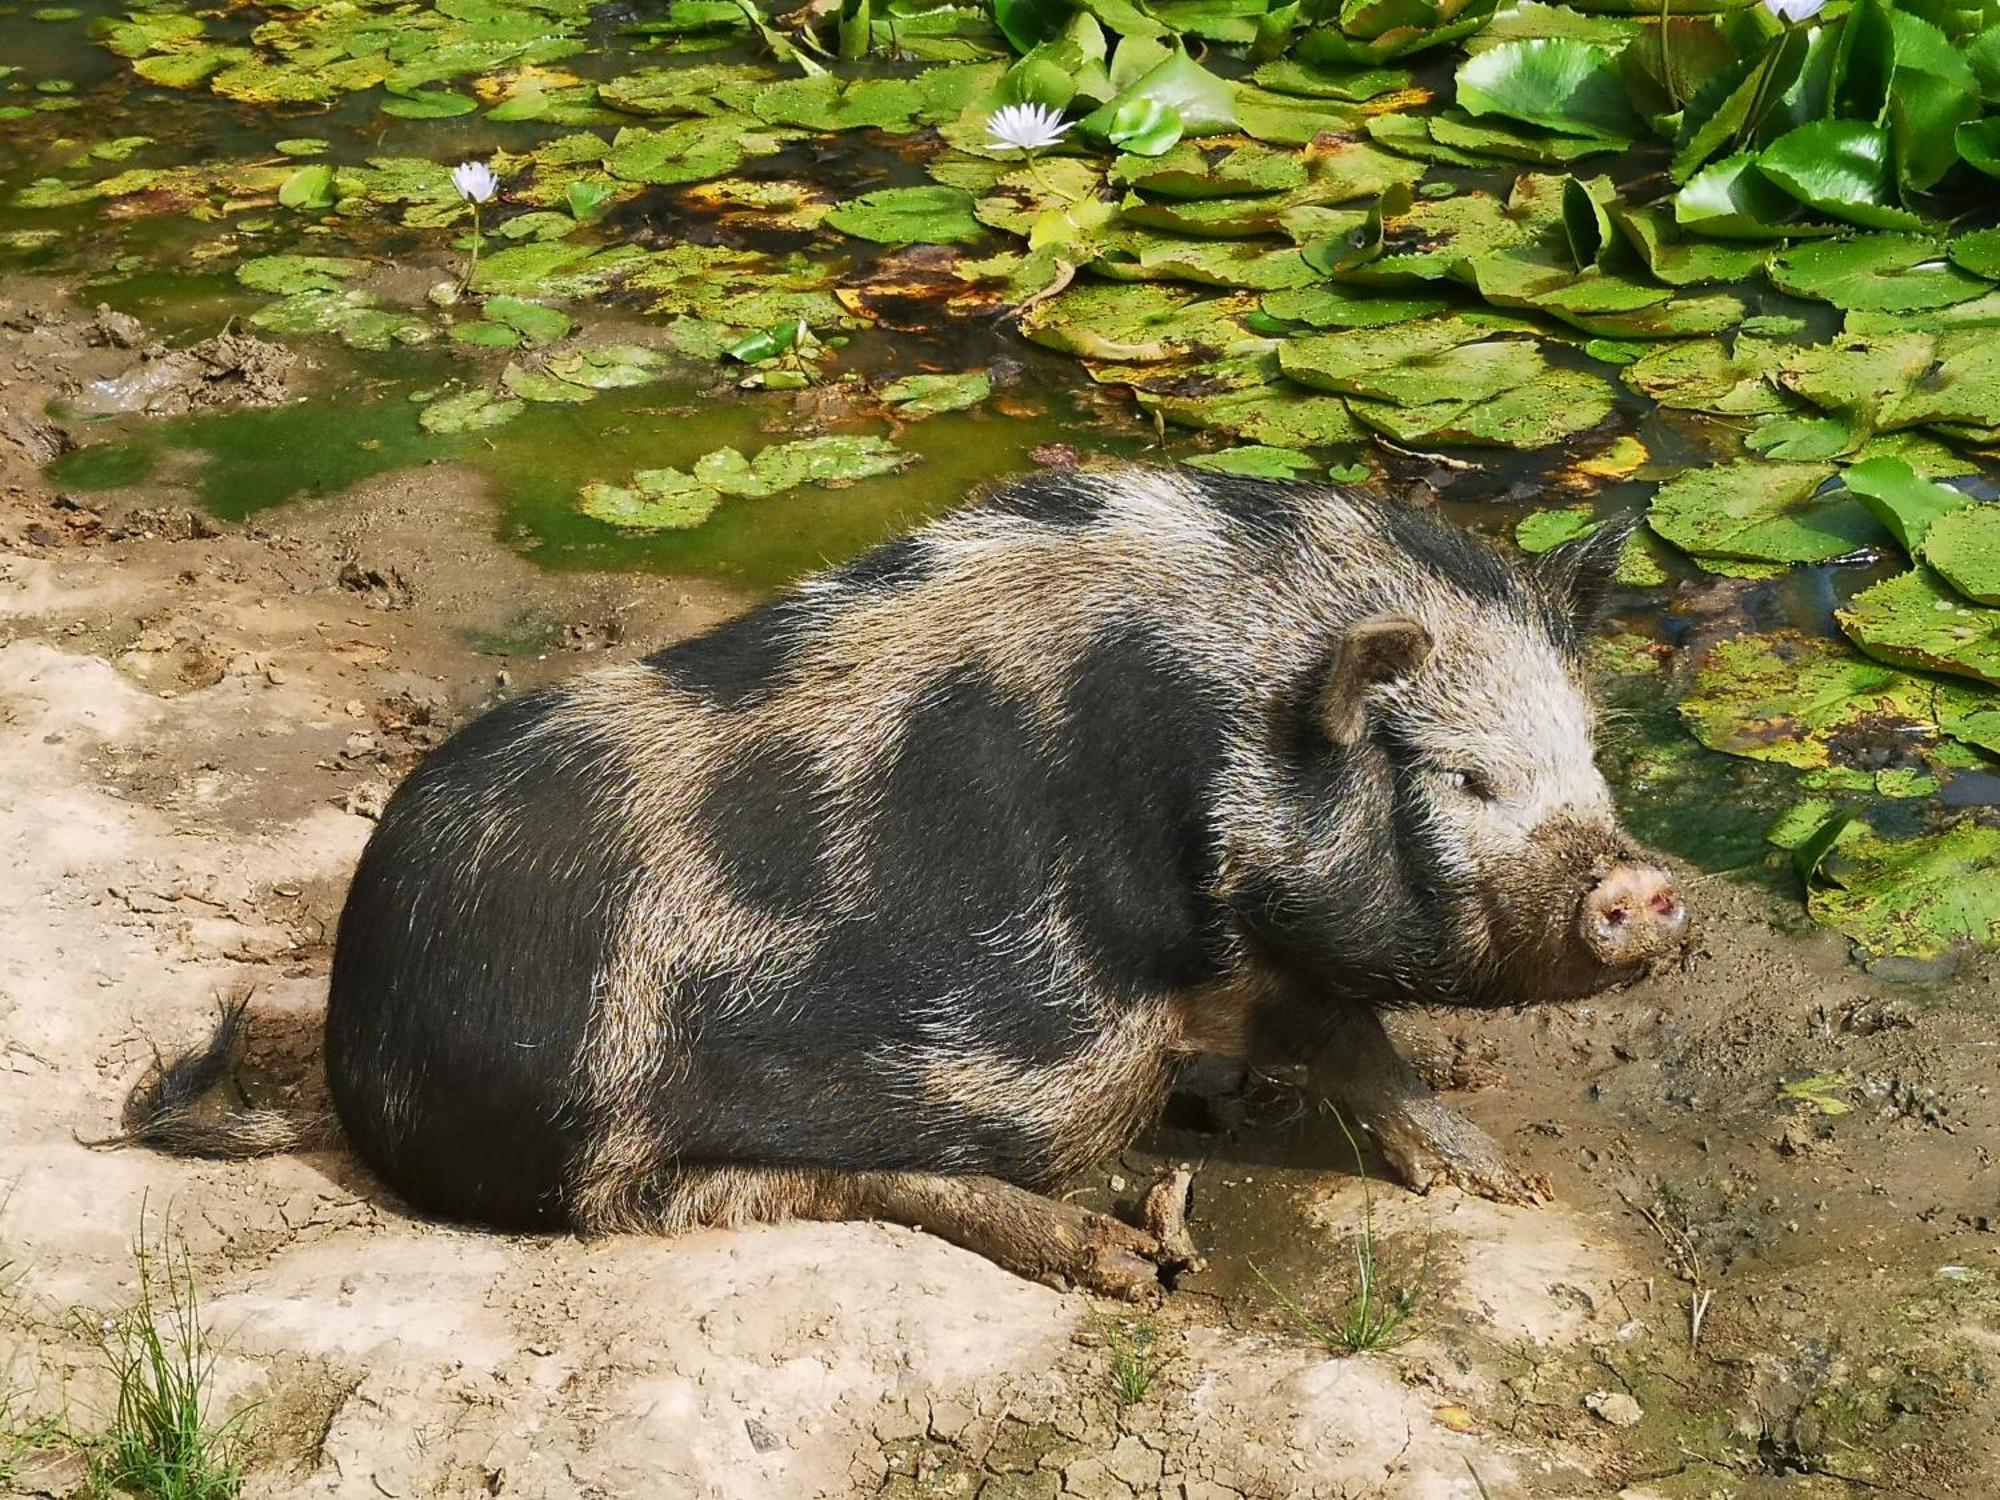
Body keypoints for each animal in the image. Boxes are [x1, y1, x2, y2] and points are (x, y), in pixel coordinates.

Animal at [125, 464, 1688, 1296]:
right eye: (1462, 778)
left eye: (1589, 753)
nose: (1645, 886)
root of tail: (360, 1044)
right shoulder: (1214, 942)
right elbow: (1349, 1036)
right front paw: (1497, 1184)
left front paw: (1496, 1186)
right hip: (634, 1139)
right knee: (755, 1192)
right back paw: (1131, 1253)